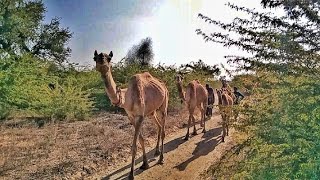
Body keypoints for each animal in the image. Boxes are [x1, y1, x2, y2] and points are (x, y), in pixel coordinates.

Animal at [93, 50, 170, 179]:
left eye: (109, 58)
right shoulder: (131, 117)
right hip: (151, 112)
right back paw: (156, 151)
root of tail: (163, 84)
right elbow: (141, 139)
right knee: (159, 126)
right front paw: (145, 164)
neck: (127, 98)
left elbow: (134, 145)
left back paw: (161, 159)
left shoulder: (140, 116)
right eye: (95, 57)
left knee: (163, 129)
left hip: (163, 106)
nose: (102, 61)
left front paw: (131, 174)